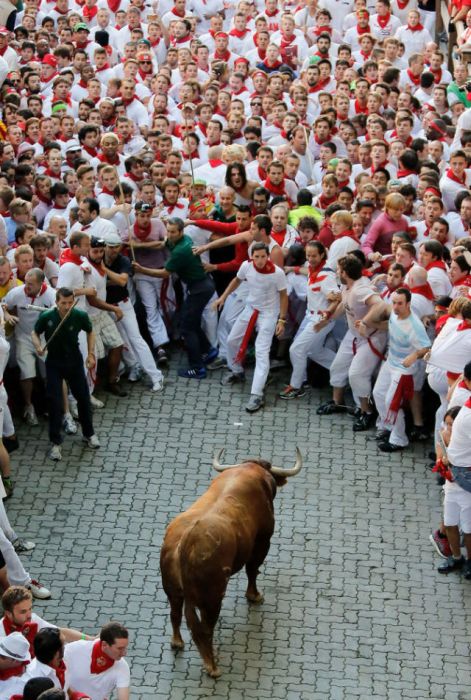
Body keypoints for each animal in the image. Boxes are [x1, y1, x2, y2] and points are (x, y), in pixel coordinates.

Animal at [161, 448, 302, 680]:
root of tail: (186, 542)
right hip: (212, 597)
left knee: (175, 614)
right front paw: (254, 595)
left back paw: (177, 642)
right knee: (204, 629)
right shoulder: (262, 541)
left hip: (172, 590)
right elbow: (253, 570)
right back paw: (212, 666)